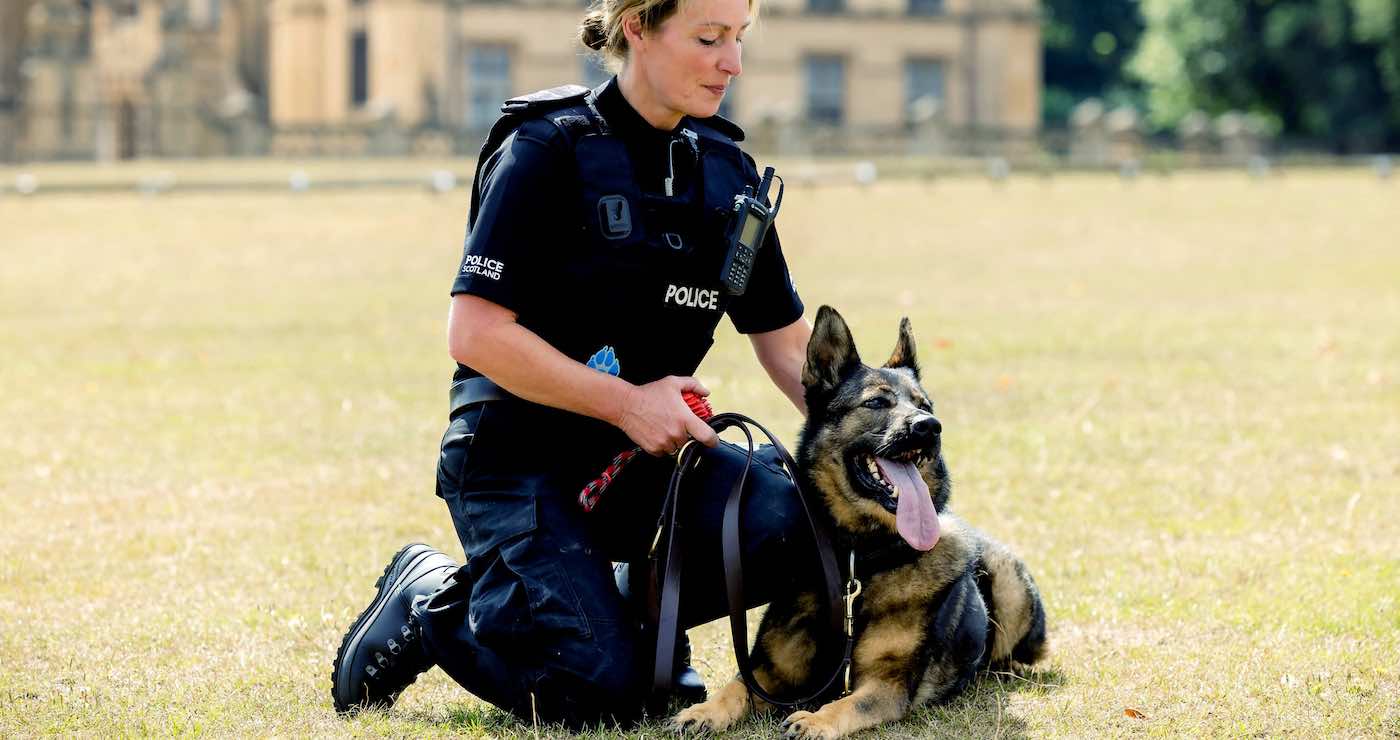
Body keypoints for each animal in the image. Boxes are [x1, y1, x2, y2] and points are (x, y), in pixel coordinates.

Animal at [672, 304, 1047, 733]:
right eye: (877, 403)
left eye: (925, 406)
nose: (930, 427)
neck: (859, 562)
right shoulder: (770, 671)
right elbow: (736, 686)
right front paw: (704, 710)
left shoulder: (887, 686)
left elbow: (845, 704)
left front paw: (814, 721)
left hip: (1010, 584)